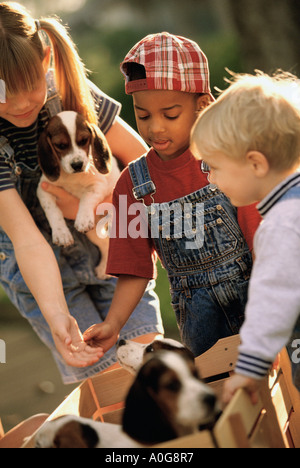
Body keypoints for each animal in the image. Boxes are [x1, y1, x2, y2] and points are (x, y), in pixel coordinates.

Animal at [36, 111, 118, 280]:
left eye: (84, 140)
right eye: (61, 145)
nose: (77, 165)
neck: (72, 177)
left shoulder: (98, 185)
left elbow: (86, 199)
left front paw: (83, 219)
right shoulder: (43, 189)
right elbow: (52, 211)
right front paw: (61, 233)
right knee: (106, 245)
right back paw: (103, 269)